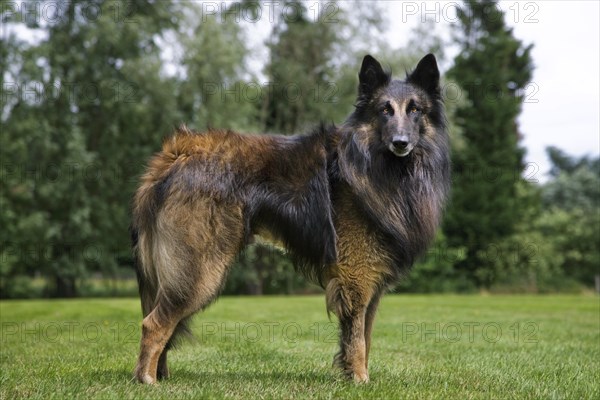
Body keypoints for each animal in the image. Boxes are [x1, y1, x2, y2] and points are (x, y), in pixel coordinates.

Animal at [132, 53, 450, 384]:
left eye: (415, 109)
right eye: (384, 110)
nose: (400, 142)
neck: (375, 165)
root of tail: (176, 153)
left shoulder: (370, 286)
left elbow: (365, 336)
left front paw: (354, 376)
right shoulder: (357, 280)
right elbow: (358, 340)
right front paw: (360, 380)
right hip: (199, 271)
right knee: (154, 324)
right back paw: (147, 380)